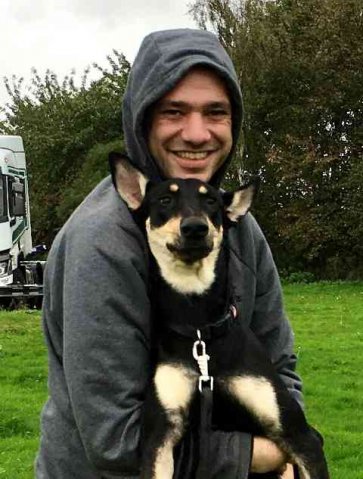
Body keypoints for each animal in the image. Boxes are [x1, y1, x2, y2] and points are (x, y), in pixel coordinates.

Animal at [110, 153, 330, 479]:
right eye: (164, 199)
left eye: (211, 201)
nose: (194, 228)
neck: (200, 325)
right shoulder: (159, 435)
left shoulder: (301, 435)